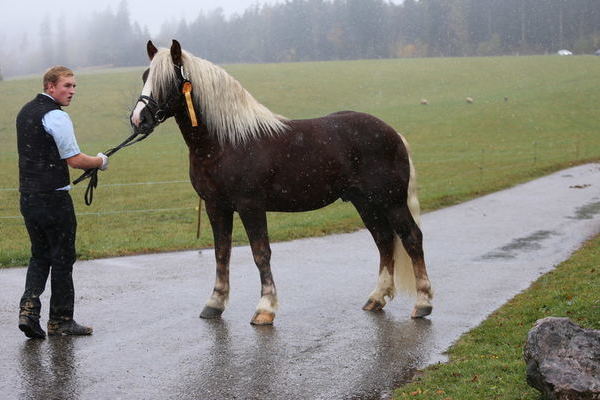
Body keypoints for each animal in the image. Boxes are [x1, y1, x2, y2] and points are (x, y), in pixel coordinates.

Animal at [131, 40, 434, 326]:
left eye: (167, 80)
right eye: (145, 75)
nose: (138, 119)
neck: (227, 142)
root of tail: (392, 133)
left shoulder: (251, 206)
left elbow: (260, 253)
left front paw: (265, 309)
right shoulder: (216, 206)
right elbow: (221, 253)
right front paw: (215, 304)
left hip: (391, 201)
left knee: (411, 238)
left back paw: (422, 304)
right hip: (366, 203)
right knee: (384, 240)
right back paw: (376, 298)